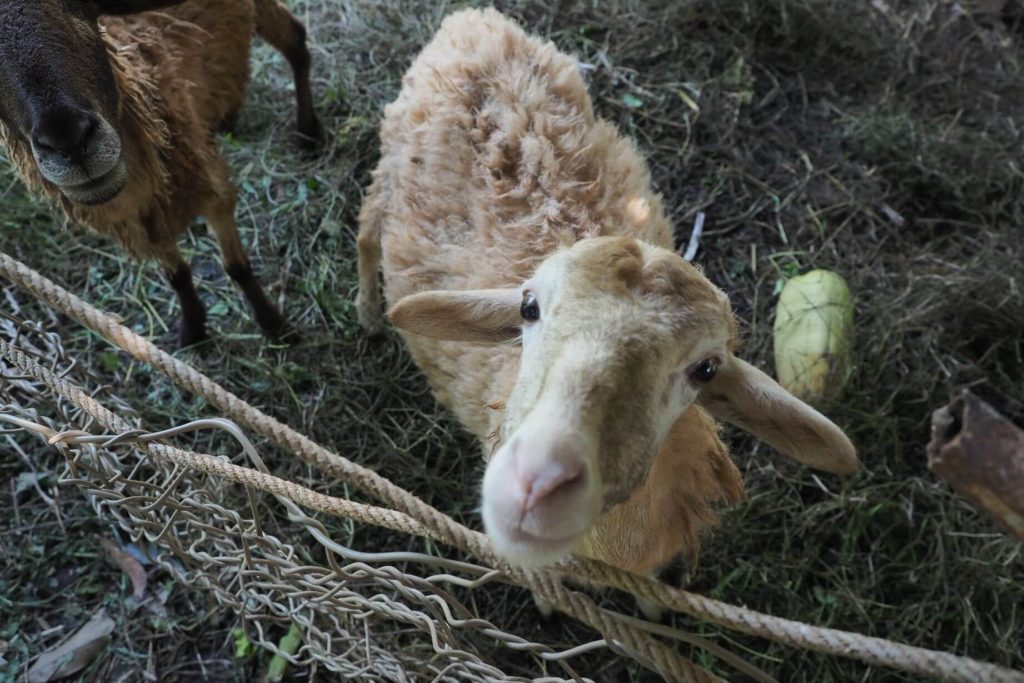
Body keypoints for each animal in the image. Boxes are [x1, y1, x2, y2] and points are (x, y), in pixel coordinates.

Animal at [0, 0, 321, 342]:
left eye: (80, 9)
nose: (69, 139)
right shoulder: (149, 218)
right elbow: (176, 275)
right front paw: (193, 328)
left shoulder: (213, 189)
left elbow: (237, 267)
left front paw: (273, 323)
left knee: (295, 39)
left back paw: (308, 132)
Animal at [360, 7, 856, 618]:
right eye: (529, 307)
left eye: (706, 369)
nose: (537, 484)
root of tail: (471, 20)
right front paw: (547, 603)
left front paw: (654, 613)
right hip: (388, 166)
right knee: (365, 230)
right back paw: (367, 312)